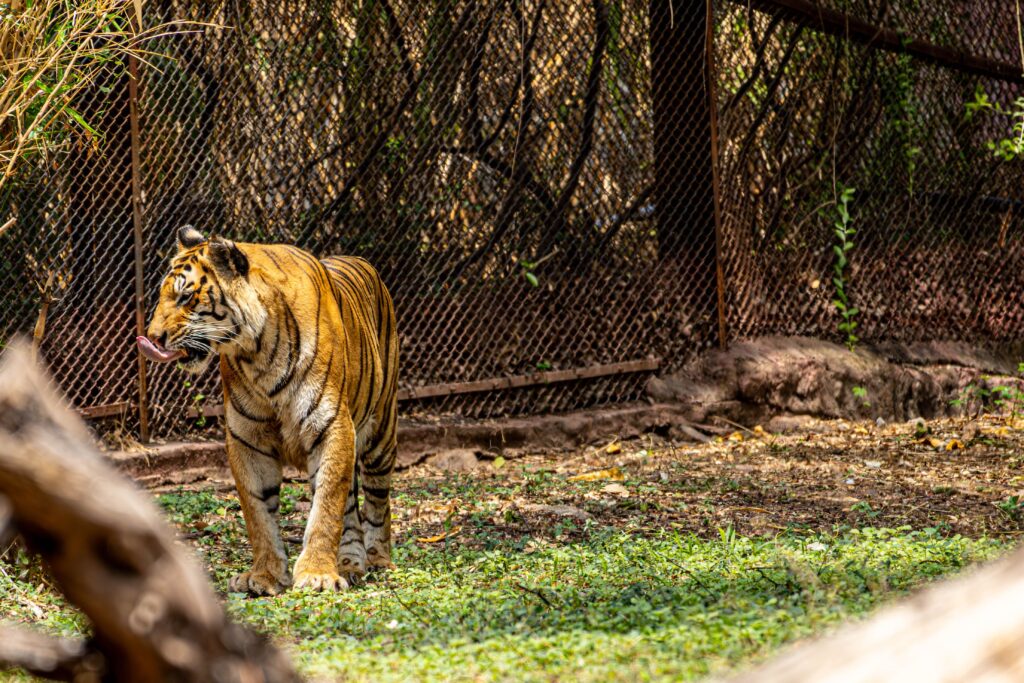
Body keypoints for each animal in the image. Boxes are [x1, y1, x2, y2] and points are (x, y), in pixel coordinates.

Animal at [138, 226, 399, 595]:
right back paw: (349, 563)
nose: (152, 338)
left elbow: (326, 506)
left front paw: (317, 574)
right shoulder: (247, 438)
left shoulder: (331, 426)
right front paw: (264, 576)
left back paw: (378, 560)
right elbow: (258, 513)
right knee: (350, 506)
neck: (257, 353)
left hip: (380, 435)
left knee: (378, 501)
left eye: (186, 298)